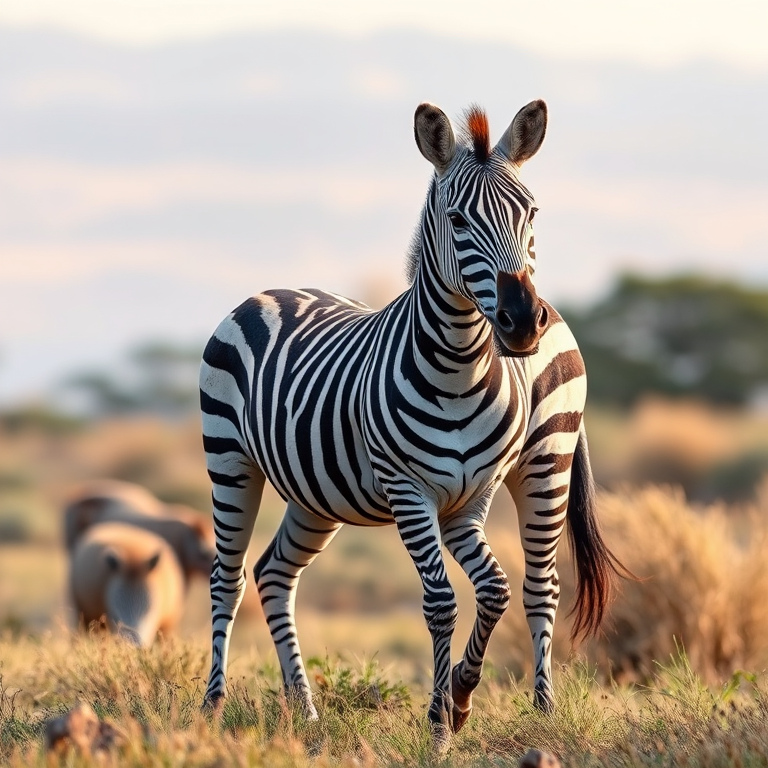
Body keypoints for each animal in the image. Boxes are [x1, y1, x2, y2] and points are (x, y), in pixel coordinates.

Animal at [199, 99, 624, 744]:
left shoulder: (471, 499)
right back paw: (213, 707)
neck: (461, 364)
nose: (523, 321)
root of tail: (272, 292)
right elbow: (442, 601)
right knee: (229, 576)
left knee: (538, 585)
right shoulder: (410, 490)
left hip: (530, 463)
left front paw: (462, 699)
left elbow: (495, 590)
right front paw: (439, 720)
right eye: (457, 220)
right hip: (230, 459)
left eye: (531, 213)